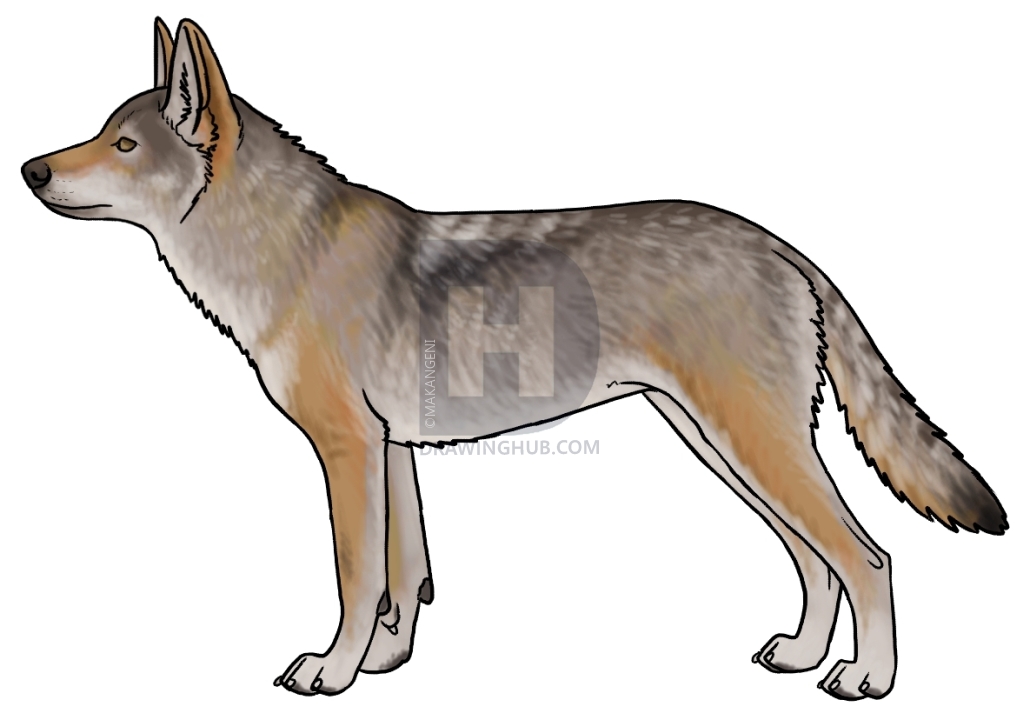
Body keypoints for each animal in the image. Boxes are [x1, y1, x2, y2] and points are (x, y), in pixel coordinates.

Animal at [21, 17, 1006, 701]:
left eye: (123, 145)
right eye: (102, 132)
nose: (30, 170)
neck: (284, 251)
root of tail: (781, 246)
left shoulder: (348, 452)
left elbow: (356, 578)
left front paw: (333, 674)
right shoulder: (392, 453)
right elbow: (404, 578)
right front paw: (384, 665)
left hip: (753, 449)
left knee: (867, 558)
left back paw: (867, 682)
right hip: (725, 451)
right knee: (815, 559)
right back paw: (801, 657)